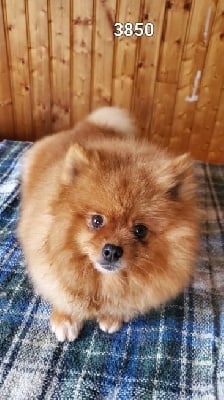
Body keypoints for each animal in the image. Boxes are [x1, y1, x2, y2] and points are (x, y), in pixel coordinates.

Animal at [18, 106, 200, 340]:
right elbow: (62, 292)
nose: (112, 250)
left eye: (140, 230)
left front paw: (113, 316)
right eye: (97, 220)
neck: (103, 281)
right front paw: (66, 319)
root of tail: (90, 125)